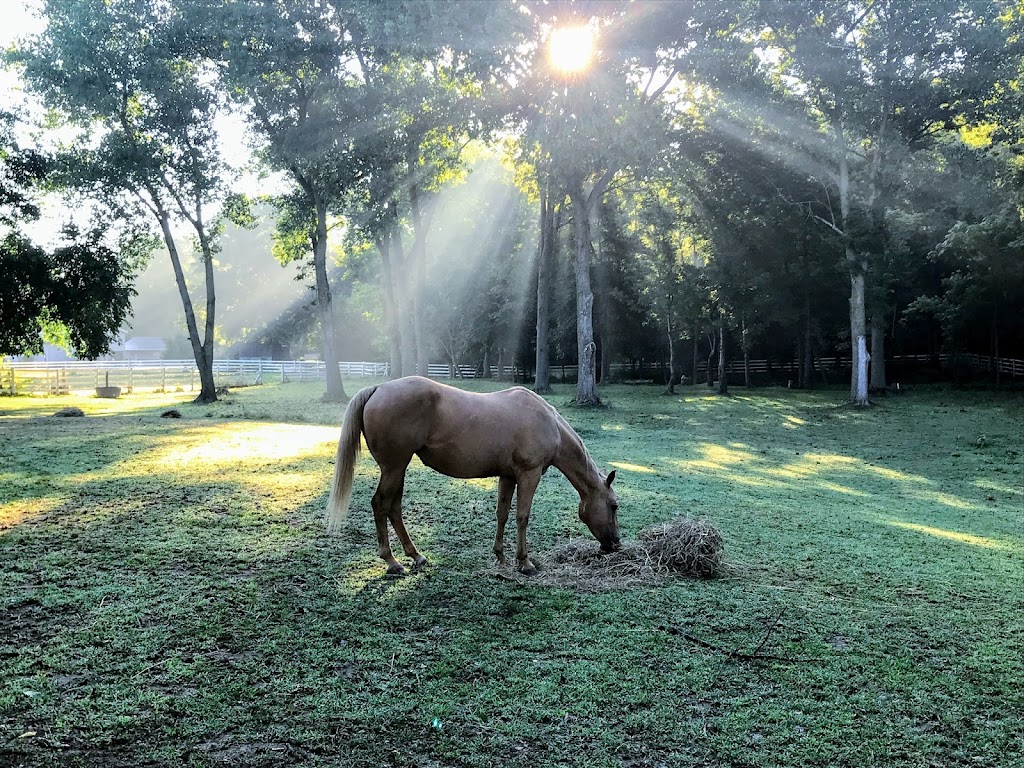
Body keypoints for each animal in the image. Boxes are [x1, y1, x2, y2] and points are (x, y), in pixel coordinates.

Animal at [323, 376, 618, 573]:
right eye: (614, 505)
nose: (614, 543)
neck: (548, 422)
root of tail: (378, 389)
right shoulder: (529, 475)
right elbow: (522, 517)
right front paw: (525, 562)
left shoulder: (508, 476)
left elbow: (502, 514)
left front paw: (500, 555)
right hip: (394, 468)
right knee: (381, 505)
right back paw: (392, 561)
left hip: (398, 469)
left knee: (393, 508)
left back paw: (415, 555)